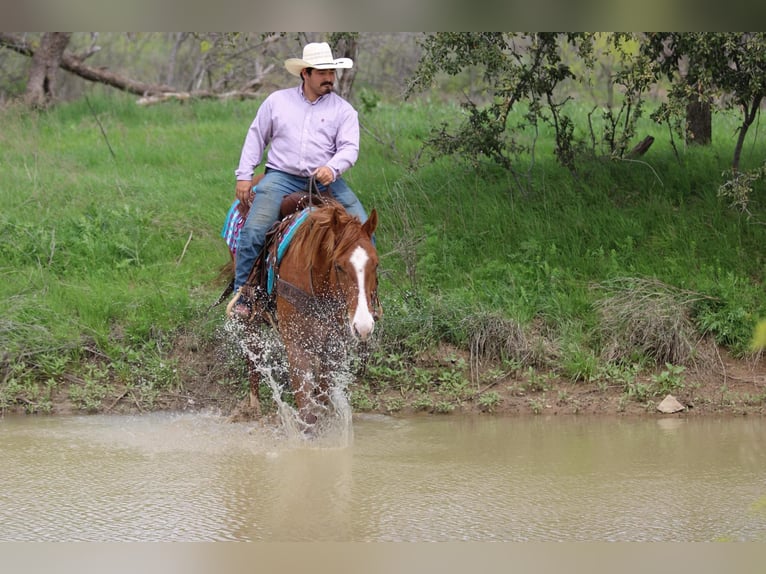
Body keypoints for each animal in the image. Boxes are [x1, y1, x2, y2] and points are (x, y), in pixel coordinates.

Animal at [226, 195, 382, 432]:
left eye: (376, 263)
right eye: (339, 266)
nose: (363, 326)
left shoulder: (332, 347)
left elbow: (322, 398)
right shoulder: (298, 346)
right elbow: (307, 412)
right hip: (250, 320)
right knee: (253, 360)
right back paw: (252, 408)